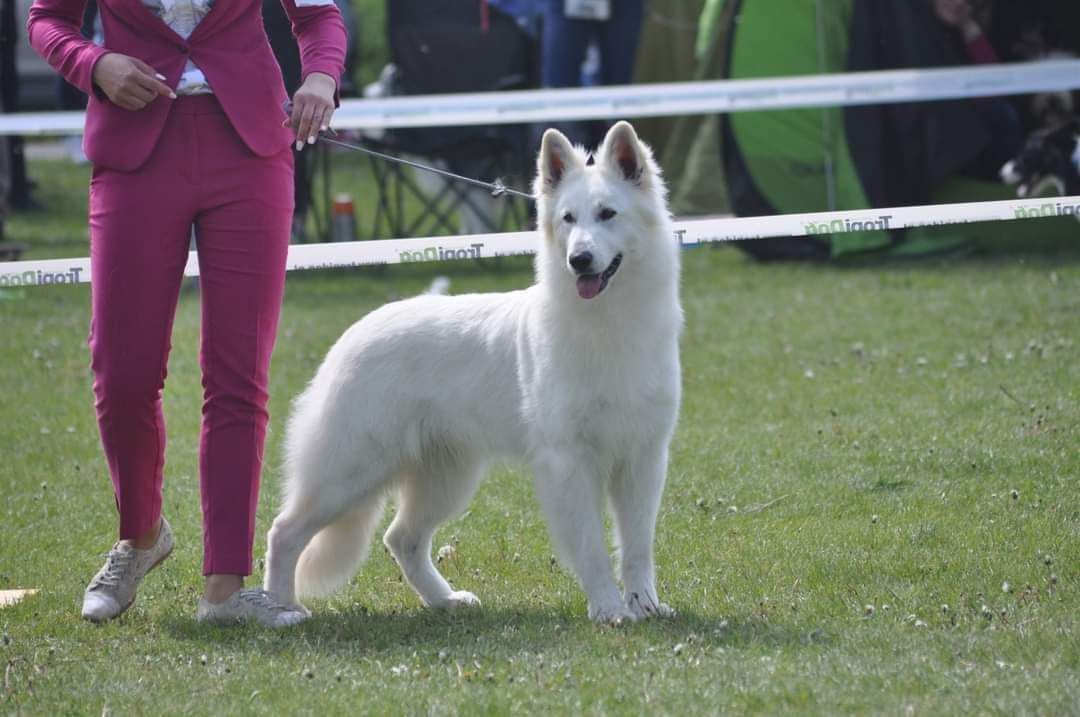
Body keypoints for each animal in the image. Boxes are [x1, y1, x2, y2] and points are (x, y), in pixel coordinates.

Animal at [264, 122, 678, 621]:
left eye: (607, 214)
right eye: (568, 219)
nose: (578, 260)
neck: (609, 323)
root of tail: (352, 335)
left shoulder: (643, 458)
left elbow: (637, 547)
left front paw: (646, 606)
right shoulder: (569, 463)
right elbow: (592, 548)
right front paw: (609, 610)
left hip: (445, 478)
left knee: (400, 539)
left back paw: (444, 600)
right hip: (349, 472)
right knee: (284, 531)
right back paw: (281, 609)